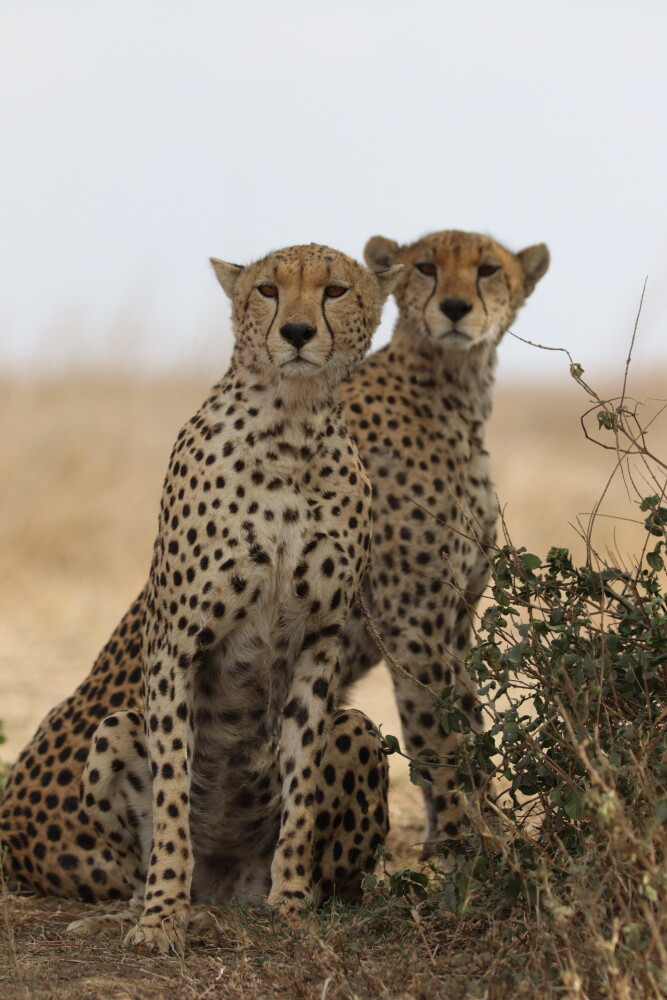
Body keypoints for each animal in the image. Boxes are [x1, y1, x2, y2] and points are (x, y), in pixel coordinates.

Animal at [1, 243, 401, 955]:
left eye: (334, 290)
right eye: (267, 289)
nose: (297, 332)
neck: (293, 426)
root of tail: (223, 887)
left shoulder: (322, 642)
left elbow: (300, 792)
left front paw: (292, 908)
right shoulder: (177, 644)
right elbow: (170, 802)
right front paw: (162, 919)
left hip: (355, 730)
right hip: (113, 728)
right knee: (145, 849)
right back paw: (143, 909)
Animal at [337, 229, 550, 857]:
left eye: (487, 270)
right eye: (426, 268)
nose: (455, 308)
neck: (455, 389)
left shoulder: (456, 616)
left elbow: (471, 720)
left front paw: (488, 827)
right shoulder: (414, 619)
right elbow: (437, 731)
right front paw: (461, 839)